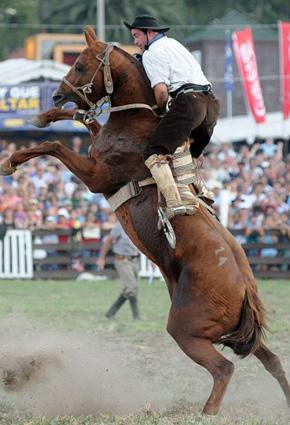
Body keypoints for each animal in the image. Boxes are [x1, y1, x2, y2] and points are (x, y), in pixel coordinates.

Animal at [1, 27, 288, 414]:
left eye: (79, 65)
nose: (58, 92)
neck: (137, 122)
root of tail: (245, 288)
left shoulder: (97, 177)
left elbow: (55, 146)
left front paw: (11, 160)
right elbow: (84, 120)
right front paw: (44, 116)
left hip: (186, 330)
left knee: (223, 368)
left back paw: (206, 413)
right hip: (238, 336)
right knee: (272, 361)